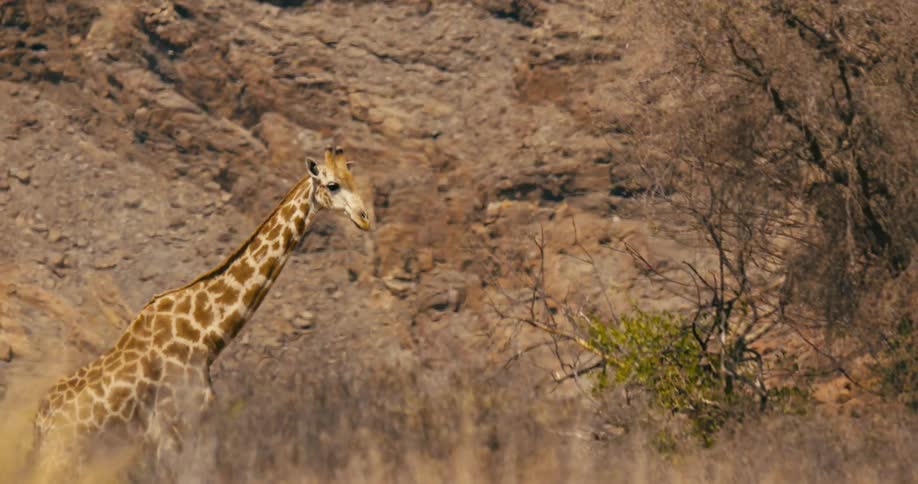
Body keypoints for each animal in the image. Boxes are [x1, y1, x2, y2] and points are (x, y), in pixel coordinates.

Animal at [31, 146, 371, 478]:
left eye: (354, 179)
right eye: (332, 185)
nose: (365, 218)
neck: (207, 334)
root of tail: (39, 421)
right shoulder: (172, 430)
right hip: (66, 456)